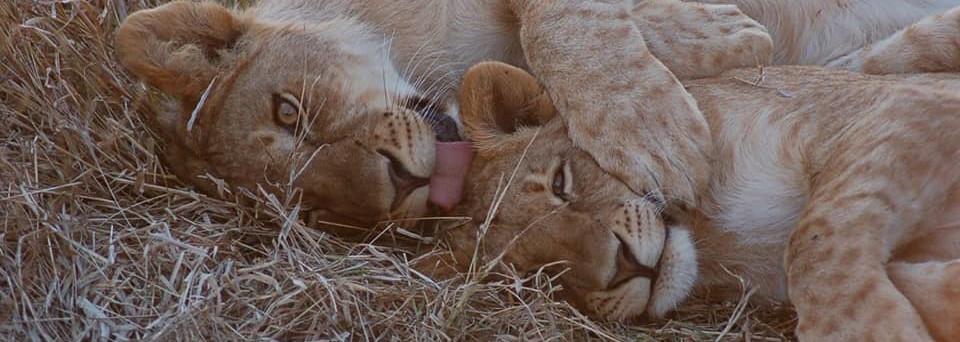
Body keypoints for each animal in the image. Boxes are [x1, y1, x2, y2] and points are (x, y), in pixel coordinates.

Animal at [426, 61, 960, 342]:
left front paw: (876, 330)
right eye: (540, 277)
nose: (623, 268)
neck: (719, 239)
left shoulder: (911, 103)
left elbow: (814, 241)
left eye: (561, 183)